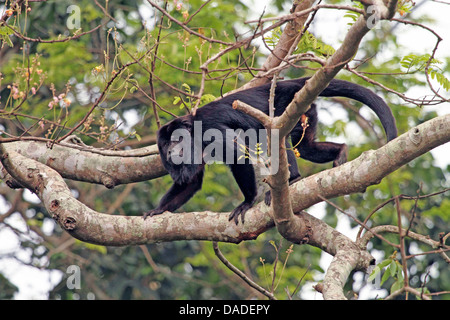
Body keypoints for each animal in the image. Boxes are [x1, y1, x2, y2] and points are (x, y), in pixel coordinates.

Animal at [144, 77, 398, 224]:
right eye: (165, 145)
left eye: (176, 139)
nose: (170, 152)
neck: (194, 132)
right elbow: (192, 181)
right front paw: (158, 210)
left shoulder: (209, 129)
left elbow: (238, 156)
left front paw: (247, 202)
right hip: (306, 112)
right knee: (304, 147)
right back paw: (340, 152)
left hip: (288, 104)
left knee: (275, 136)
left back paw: (293, 178)